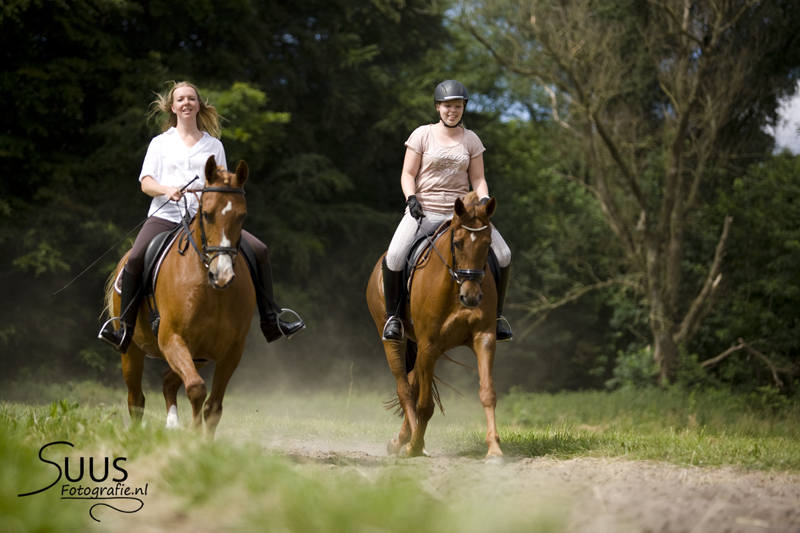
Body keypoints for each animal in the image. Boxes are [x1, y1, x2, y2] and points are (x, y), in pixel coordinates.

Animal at [103, 155, 255, 437]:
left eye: (242, 216)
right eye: (206, 214)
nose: (223, 275)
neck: (212, 291)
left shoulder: (230, 352)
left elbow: (213, 406)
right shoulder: (173, 339)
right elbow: (196, 389)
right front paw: (193, 436)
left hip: (200, 356)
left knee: (167, 381)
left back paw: (172, 424)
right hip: (132, 350)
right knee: (136, 399)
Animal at [366, 191, 503, 462]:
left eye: (487, 244)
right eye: (457, 243)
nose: (472, 297)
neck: (455, 286)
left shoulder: (484, 338)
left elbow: (487, 393)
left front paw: (494, 448)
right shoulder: (429, 344)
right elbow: (425, 404)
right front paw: (415, 447)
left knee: (412, 381)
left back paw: (401, 439)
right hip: (395, 340)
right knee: (405, 388)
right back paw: (407, 442)